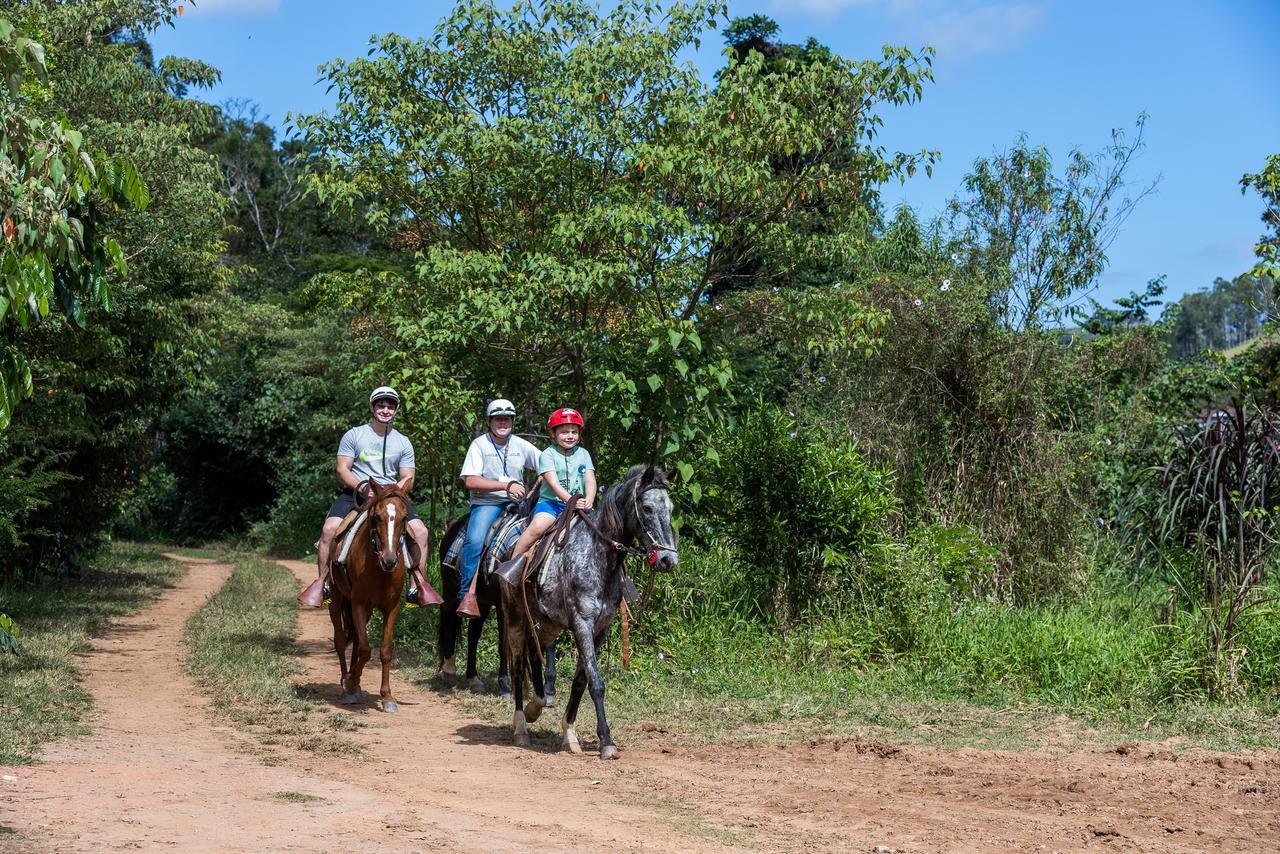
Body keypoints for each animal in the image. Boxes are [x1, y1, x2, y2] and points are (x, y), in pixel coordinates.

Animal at [330, 481, 414, 717]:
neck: (379, 569)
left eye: (404, 517)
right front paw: (350, 683)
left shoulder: (392, 607)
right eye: (376, 517)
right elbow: (367, 650)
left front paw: (387, 697)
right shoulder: (358, 604)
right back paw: (346, 683)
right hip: (338, 599)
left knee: (357, 641)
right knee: (341, 640)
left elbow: (384, 650)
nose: (389, 560)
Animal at [499, 468, 680, 763]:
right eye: (647, 508)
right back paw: (521, 728)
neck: (598, 558)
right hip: (515, 615)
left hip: (550, 622)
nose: (668, 560)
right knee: (516, 666)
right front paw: (606, 742)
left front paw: (569, 734)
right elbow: (596, 683)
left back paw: (537, 705)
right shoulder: (581, 623)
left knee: (535, 649)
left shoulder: (599, 629)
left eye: (671, 509)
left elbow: (580, 682)